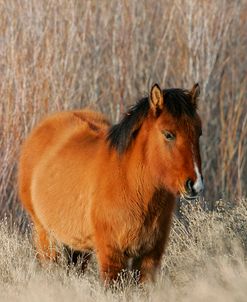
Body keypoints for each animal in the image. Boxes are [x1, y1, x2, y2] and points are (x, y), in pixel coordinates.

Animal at [16, 84, 203, 284]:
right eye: (168, 134)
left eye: (199, 132)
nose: (195, 185)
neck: (130, 184)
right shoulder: (111, 255)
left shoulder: (149, 257)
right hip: (46, 237)